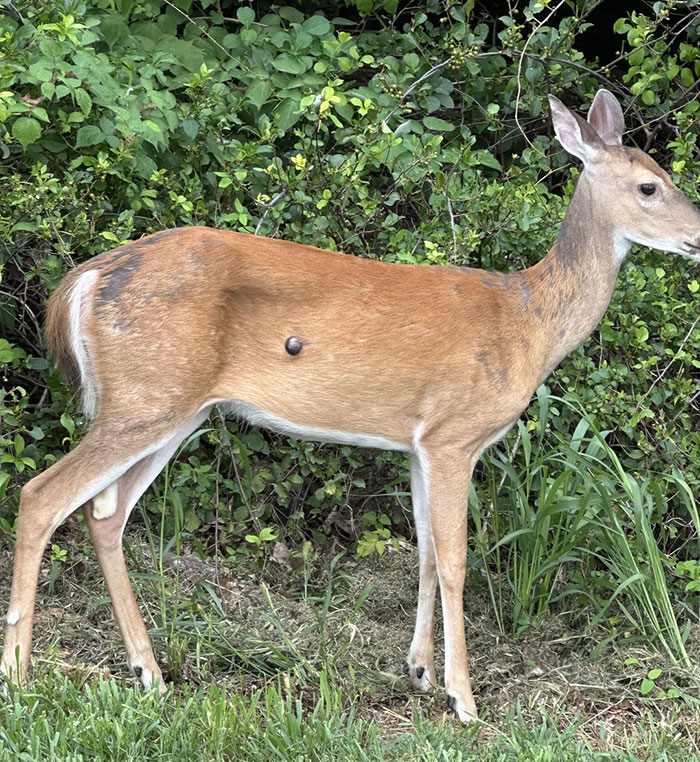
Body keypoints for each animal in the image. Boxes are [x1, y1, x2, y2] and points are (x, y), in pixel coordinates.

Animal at [2, 89, 700, 722]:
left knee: (104, 515)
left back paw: (148, 672)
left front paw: (420, 672)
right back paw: (20, 673)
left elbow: (424, 552)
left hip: (173, 407)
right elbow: (455, 560)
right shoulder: (455, 434)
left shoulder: (418, 442)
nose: (698, 235)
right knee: (40, 496)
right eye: (648, 187)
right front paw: (464, 699)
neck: (531, 322)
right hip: (145, 398)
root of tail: (83, 281)